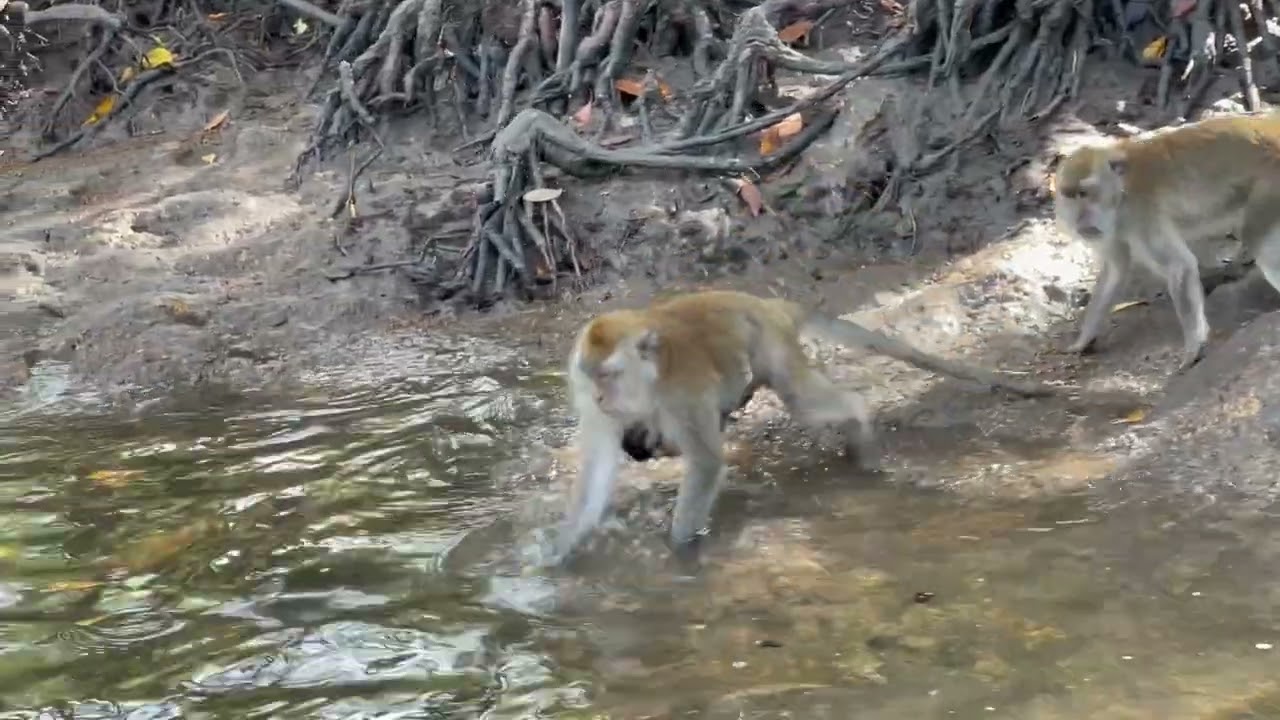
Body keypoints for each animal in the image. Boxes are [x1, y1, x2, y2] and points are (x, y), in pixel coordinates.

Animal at [554, 289, 1083, 559]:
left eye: (610, 374)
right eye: (591, 375)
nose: (599, 395)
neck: (648, 379)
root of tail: (763, 302)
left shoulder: (682, 394)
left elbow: (704, 463)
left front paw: (680, 551)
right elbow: (599, 467)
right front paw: (560, 555)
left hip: (772, 345)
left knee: (809, 402)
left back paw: (860, 427)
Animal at [1053, 112, 1280, 372]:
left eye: (1085, 193)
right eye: (1069, 196)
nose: (1080, 220)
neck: (1121, 192)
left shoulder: (1141, 214)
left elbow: (1179, 265)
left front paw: (1194, 348)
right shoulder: (1115, 227)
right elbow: (1115, 270)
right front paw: (1083, 340)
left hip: (1271, 183)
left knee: (1255, 236)